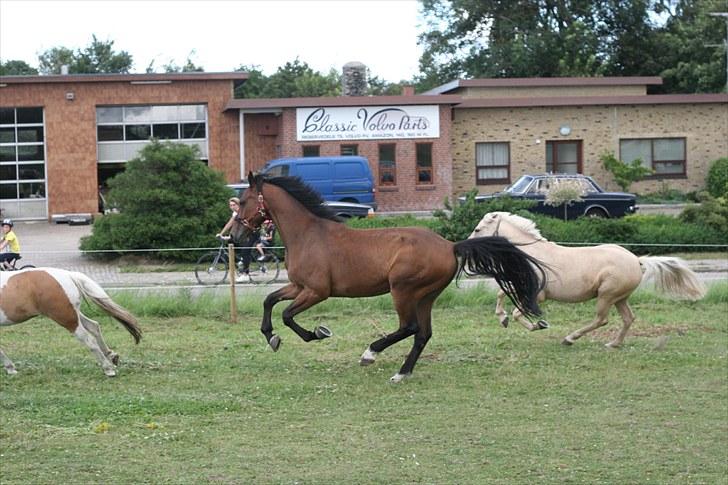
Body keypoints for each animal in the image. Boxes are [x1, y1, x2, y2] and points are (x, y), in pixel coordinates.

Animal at [0, 268, 142, 374]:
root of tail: (69, 275)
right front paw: (10, 368)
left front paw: (10, 368)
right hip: (74, 314)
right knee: (94, 326)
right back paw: (111, 356)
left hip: (67, 318)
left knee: (88, 339)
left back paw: (108, 369)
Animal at [237, 174, 544, 382]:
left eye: (242, 201)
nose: (236, 236)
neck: (308, 234)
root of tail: (450, 246)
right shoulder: (297, 286)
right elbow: (269, 300)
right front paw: (271, 337)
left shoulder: (316, 291)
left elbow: (287, 314)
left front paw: (317, 333)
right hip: (426, 296)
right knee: (423, 334)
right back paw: (402, 372)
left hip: (402, 290)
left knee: (408, 327)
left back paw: (370, 353)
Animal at [470, 211, 708, 344]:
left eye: (478, 229)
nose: (467, 246)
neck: (532, 255)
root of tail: (636, 260)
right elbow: (502, 295)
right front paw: (503, 319)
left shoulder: (538, 296)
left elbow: (519, 313)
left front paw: (540, 325)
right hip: (620, 298)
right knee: (628, 318)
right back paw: (613, 344)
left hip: (606, 295)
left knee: (602, 320)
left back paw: (570, 338)